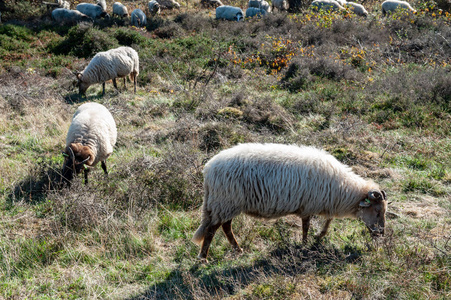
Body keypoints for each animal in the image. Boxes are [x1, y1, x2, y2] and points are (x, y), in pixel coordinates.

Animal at [193, 143, 388, 260]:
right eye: (377, 211)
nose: (381, 233)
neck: (343, 189)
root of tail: (208, 169)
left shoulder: (324, 203)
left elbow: (327, 221)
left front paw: (319, 236)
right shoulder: (310, 205)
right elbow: (306, 226)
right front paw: (305, 244)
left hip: (226, 204)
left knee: (225, 227)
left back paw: (237, 249)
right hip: (225, 202)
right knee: (212, 229)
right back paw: (203, 258)